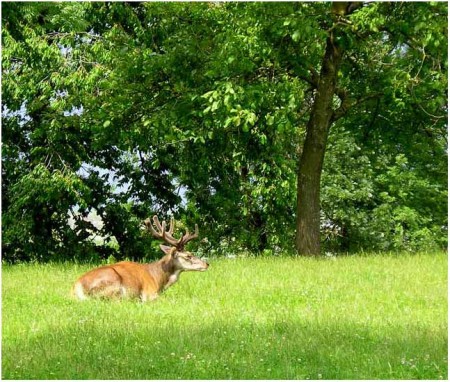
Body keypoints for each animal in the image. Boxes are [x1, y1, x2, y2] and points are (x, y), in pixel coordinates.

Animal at [72, 215, 209, 302]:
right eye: (188, 255)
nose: (207, 264)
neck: (159, 279)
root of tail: (76, 287)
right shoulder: (150, 293)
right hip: (112, 284)